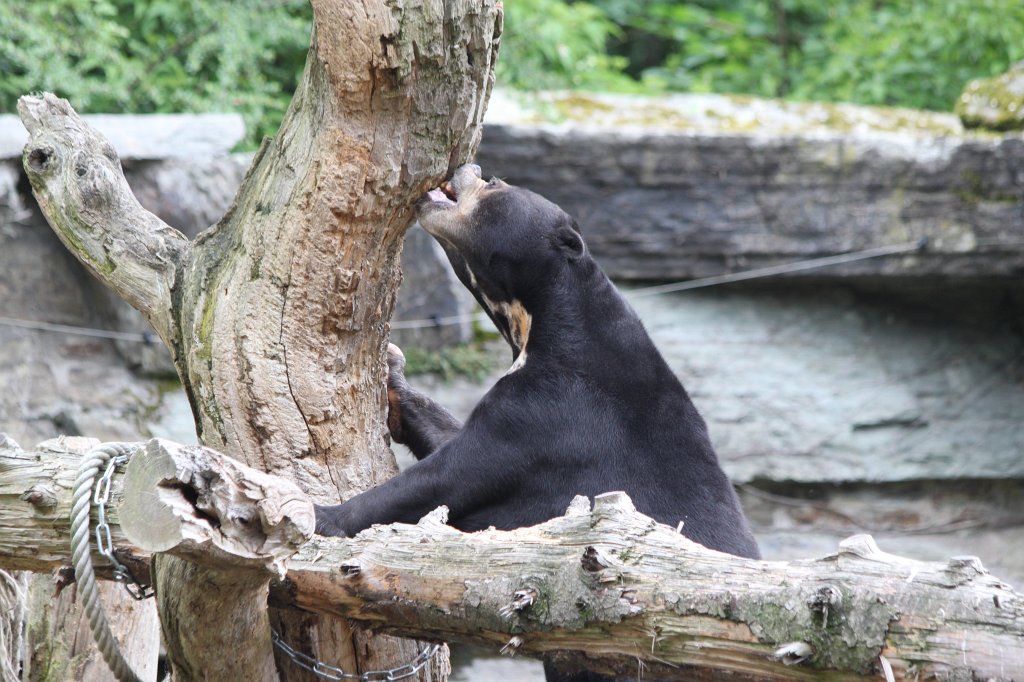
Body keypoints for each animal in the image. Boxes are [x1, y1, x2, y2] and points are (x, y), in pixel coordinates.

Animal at [315, 163, 760, 681]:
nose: (468, 168)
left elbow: (450, 474)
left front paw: (321, 515)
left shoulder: (550, 413)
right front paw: (391, 371)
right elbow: (449, 438)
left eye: (494, 186)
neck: (540, 320)